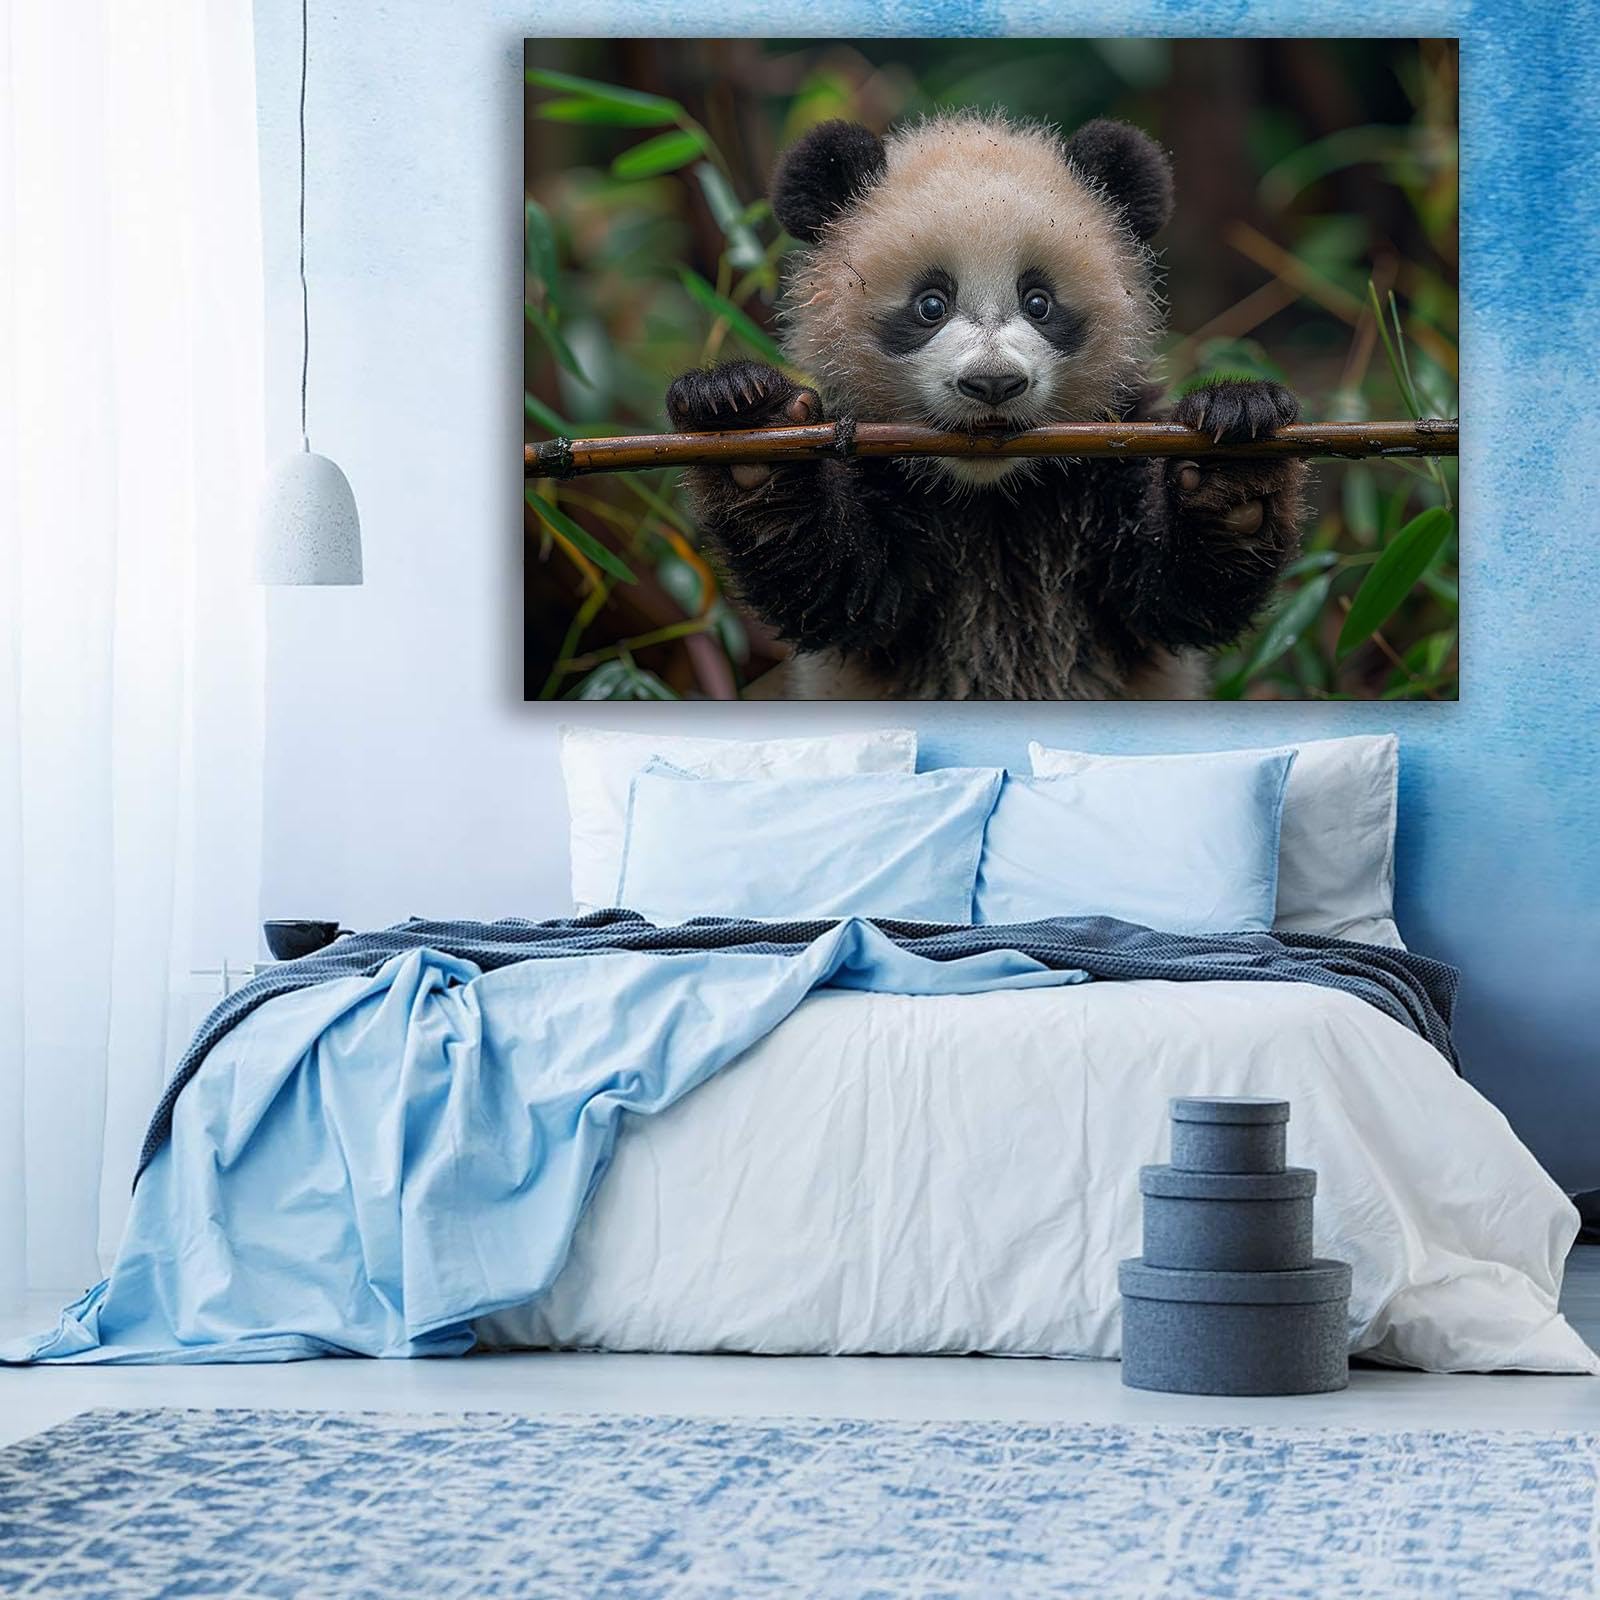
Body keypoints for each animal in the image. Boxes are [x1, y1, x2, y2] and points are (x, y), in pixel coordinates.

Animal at [665, 111, 1307, 700]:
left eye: (1039, 301)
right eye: (931, 304)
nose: (993, 384)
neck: (992, 497)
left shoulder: (1117, 449)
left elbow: (1174, 595)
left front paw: (1235, 459)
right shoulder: (882, 487)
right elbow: (835, 587)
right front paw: (748, 425)